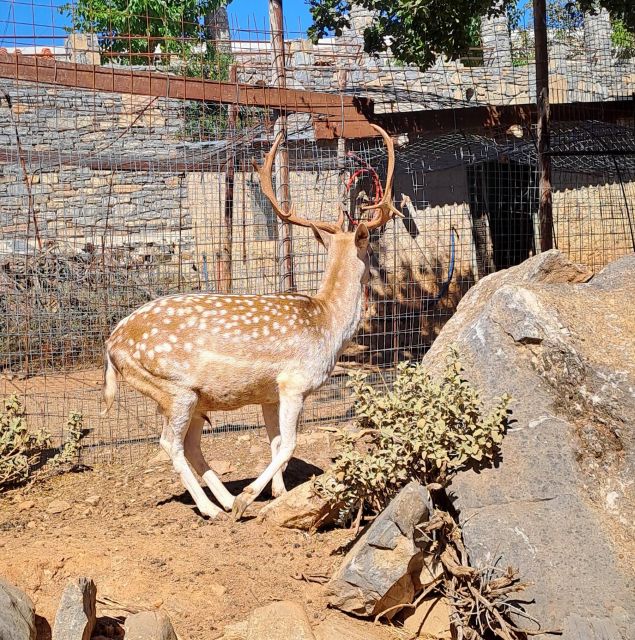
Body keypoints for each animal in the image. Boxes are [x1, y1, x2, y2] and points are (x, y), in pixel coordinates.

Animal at [103, 125, 402, 520]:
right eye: (370, 252)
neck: (328, 324)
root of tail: (111, 344)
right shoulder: (294, 383)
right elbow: (289, 443)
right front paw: (251, 495)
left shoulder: (269, 393)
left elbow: (274, 441)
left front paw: (277, 494)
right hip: (175, 389)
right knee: (170, 443)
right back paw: (215, 508)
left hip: (192, 398)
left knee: (192, 445)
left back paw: (225, 501)